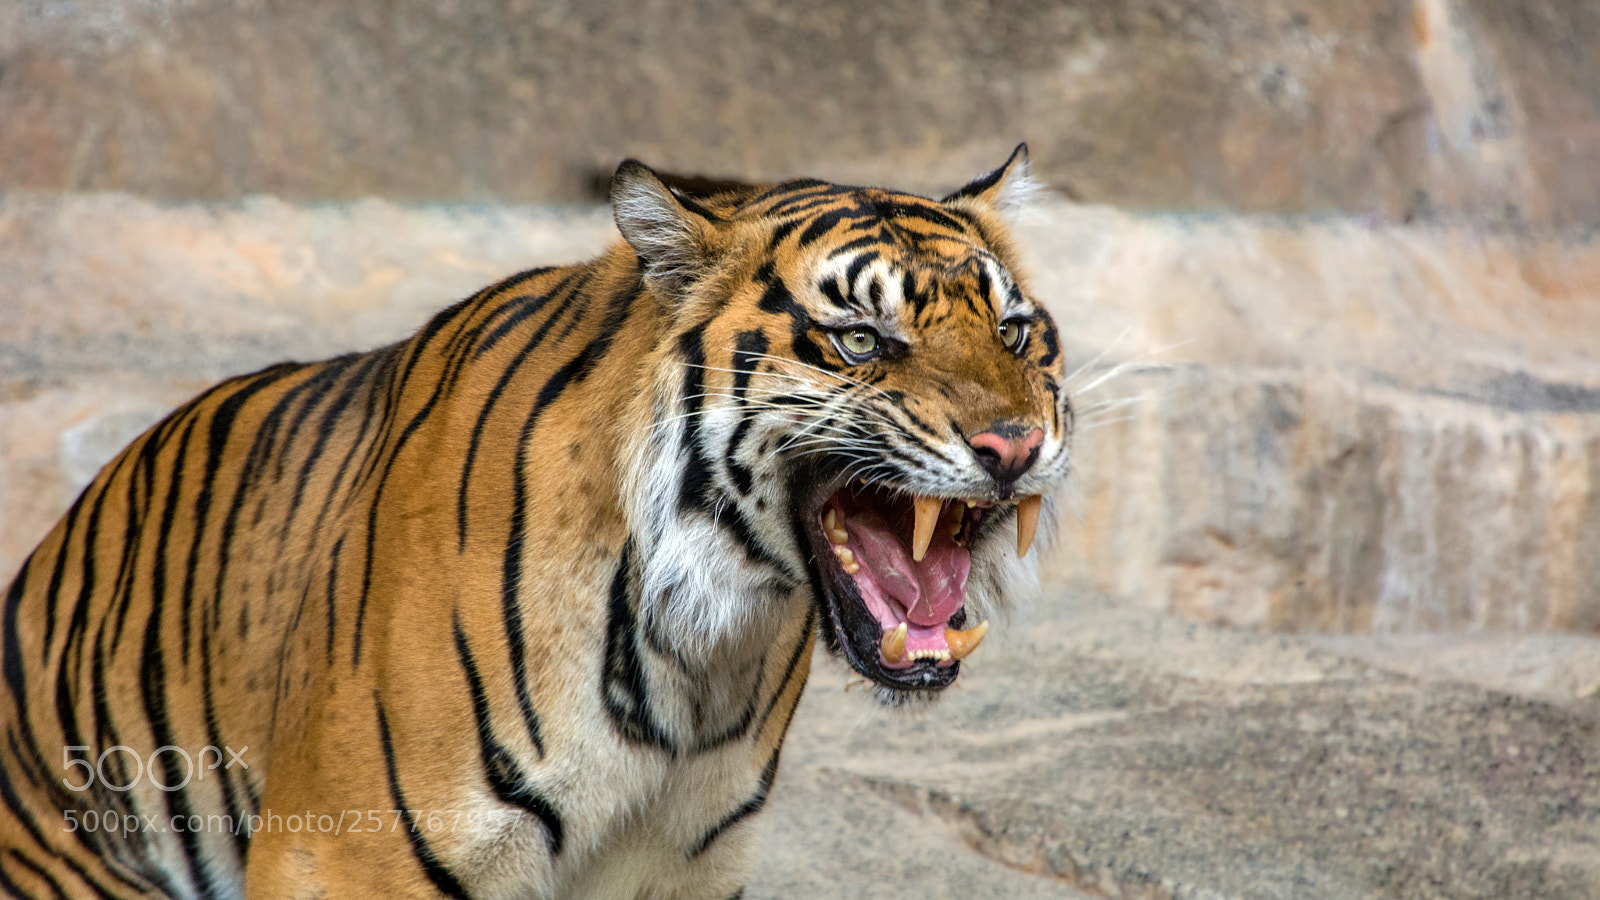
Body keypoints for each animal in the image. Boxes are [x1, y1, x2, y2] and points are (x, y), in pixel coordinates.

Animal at [0, 144, 1072, 899]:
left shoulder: (680, 867)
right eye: (859, 340)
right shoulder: (347, 856)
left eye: (1014, 331)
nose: (1017, 446)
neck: (699, 651)